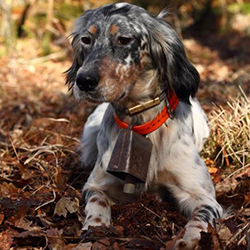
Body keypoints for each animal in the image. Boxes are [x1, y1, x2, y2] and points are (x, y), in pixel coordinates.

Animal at [65, 2, 223, 249]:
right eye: (86, 39)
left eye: (124, 39)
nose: (84, 81)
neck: (139, 123)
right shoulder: (96, 185)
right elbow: (98, 202)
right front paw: (96, 228)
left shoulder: (202, 196)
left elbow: (199, 221)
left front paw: (187, 240)